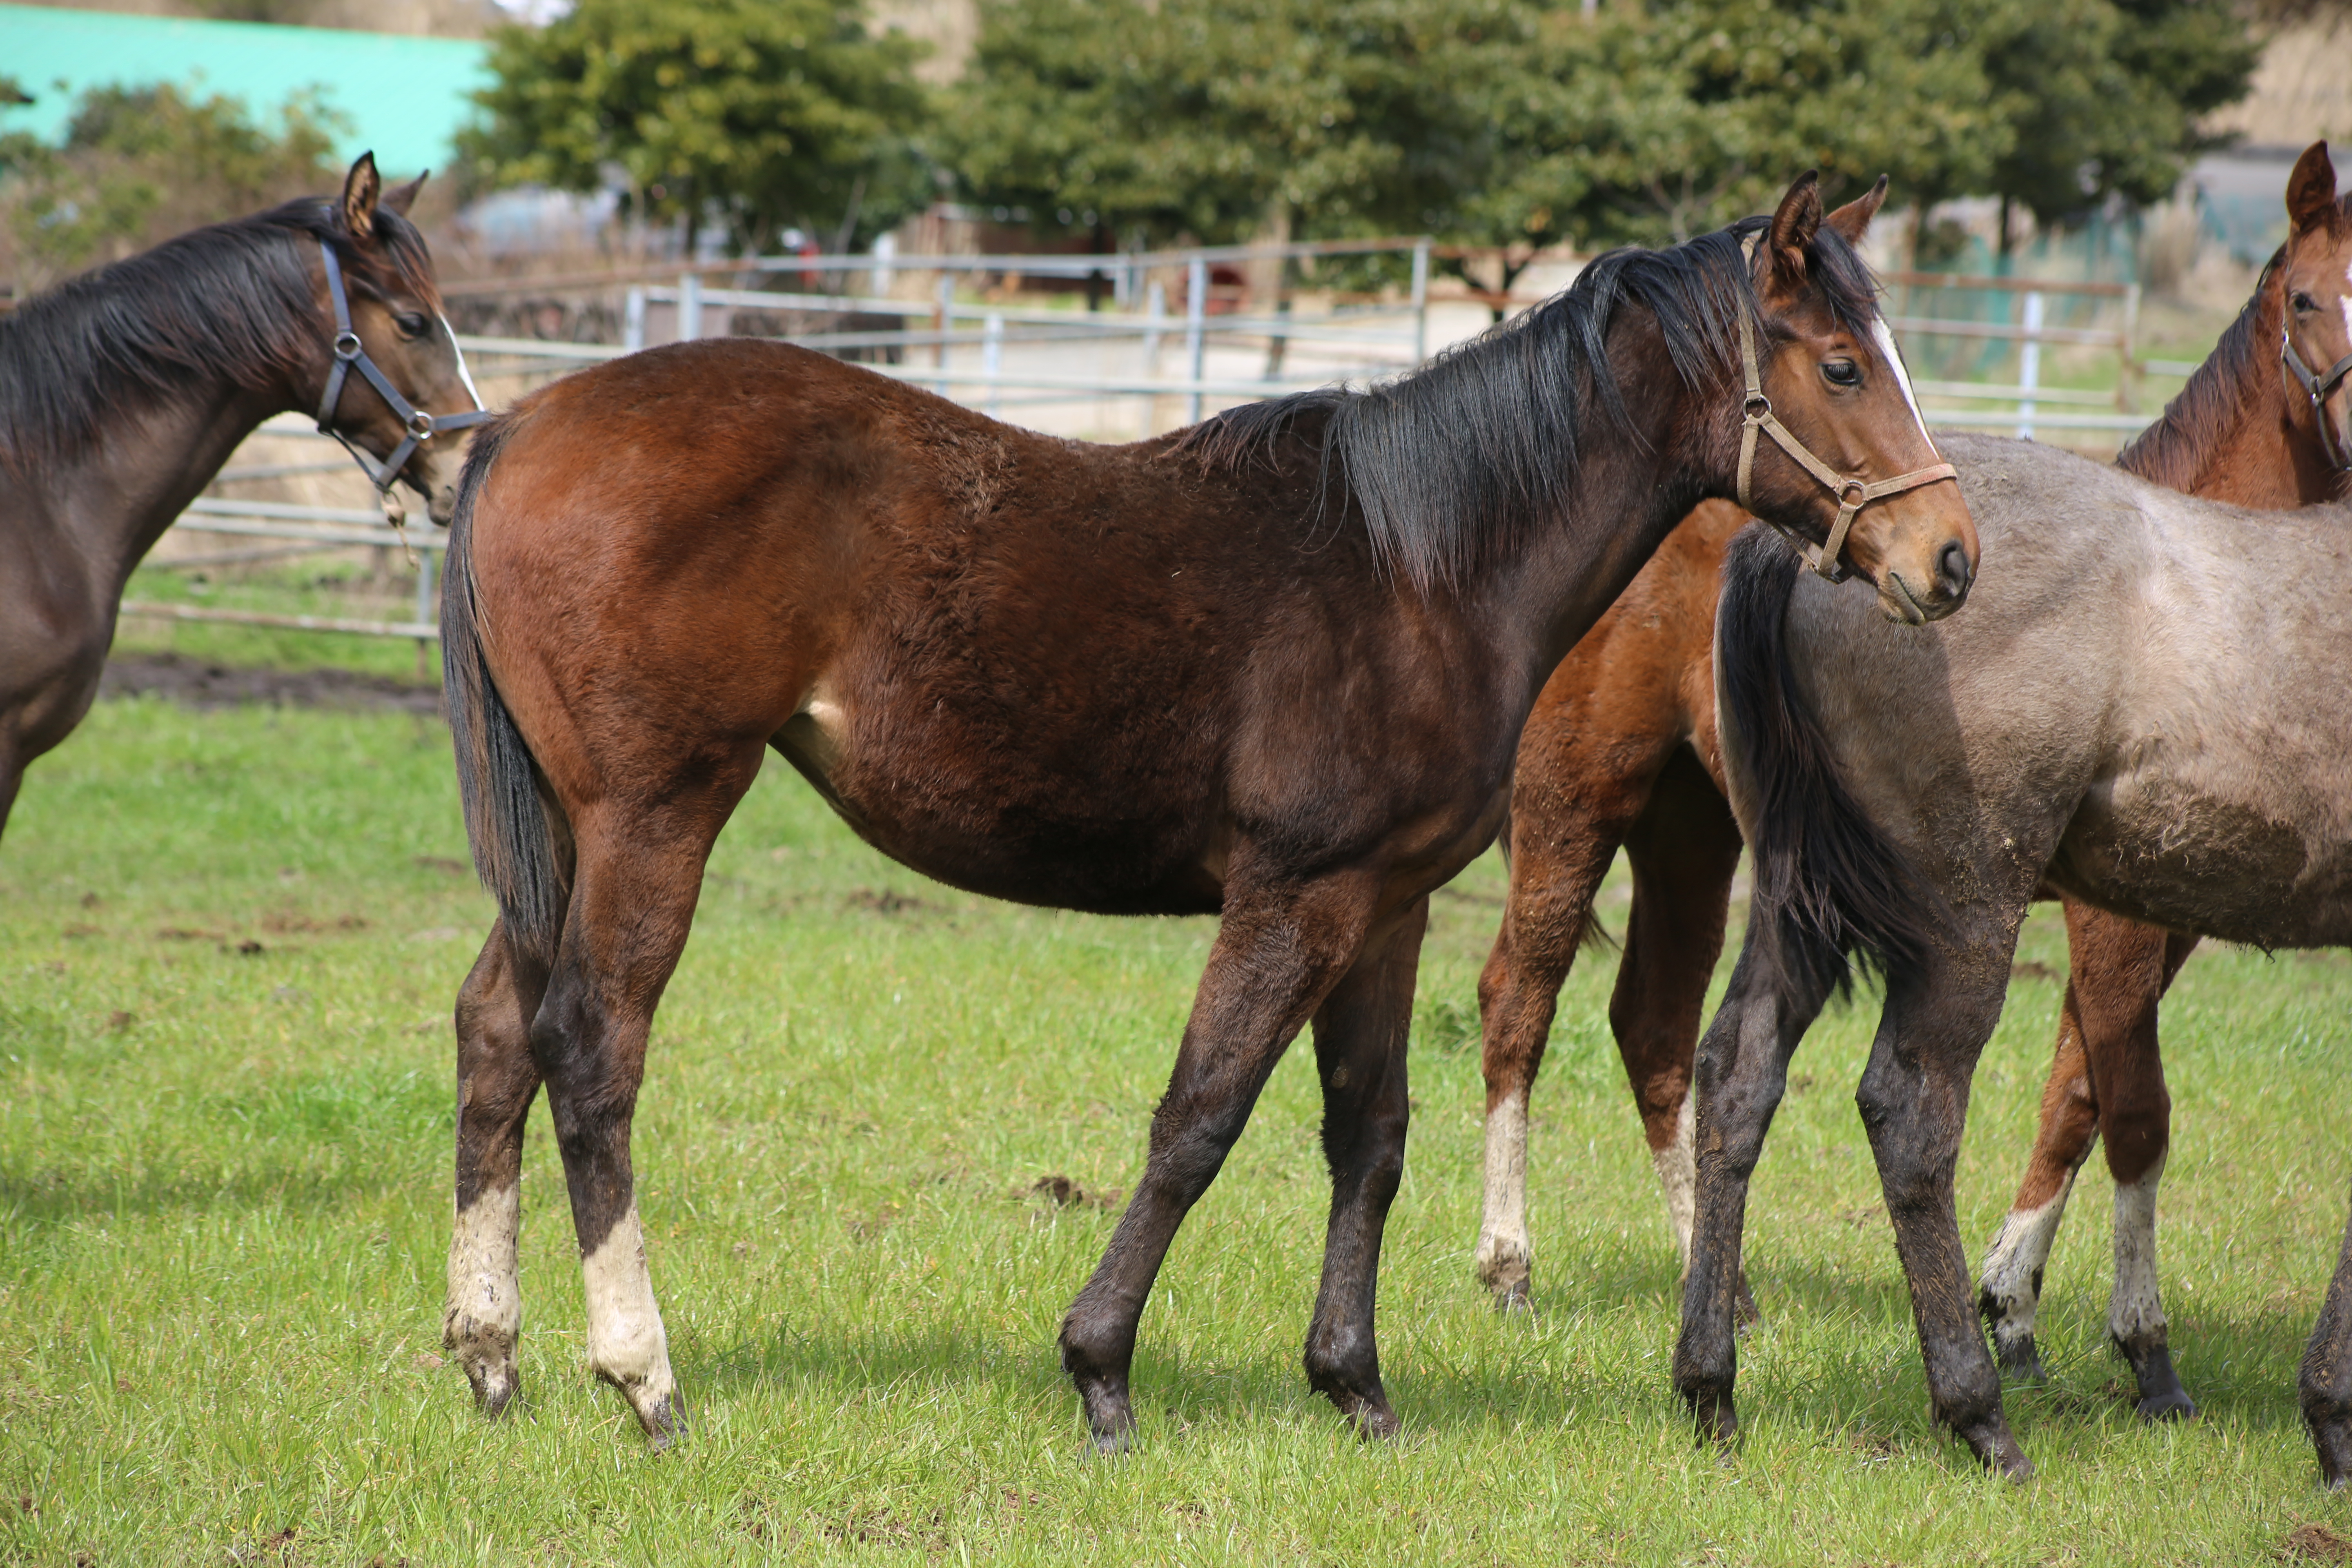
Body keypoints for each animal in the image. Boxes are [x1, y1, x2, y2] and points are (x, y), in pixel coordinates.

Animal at [432, 177, 1976, 1457]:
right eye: (1841, 364)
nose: (1951, 558)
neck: (1424, 564)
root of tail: (520, 424)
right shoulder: (1296, 894)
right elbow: (1200, 1118)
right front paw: (1100, 1370)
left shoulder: (1384, 903)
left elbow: (1371, 1130)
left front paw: (1354, 1384)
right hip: (656, 814)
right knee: (594, 1049)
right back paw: (643, 1376)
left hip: (565, 836)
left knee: (498, 1029)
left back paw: (491, 1354)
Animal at [1675, 430, 2352, 1486]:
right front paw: (2327, 1408)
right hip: (1965, 917)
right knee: (1910, 1115)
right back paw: (1977, 1410)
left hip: (1797, 909)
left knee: (1736, 1075)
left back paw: (1710, 1386)